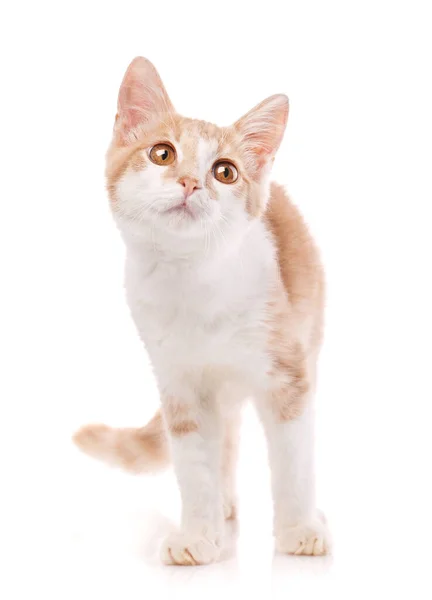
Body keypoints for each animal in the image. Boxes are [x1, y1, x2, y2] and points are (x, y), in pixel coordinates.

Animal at [74, 55, 330, 564]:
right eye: (162, 154)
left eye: (225, 172)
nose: (191, 182)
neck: (192, 279)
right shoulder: (179, 384)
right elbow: (194, 464)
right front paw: (197, 533)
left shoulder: (288, 373)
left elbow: (293, 458)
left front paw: (300, 528)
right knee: (225, 438)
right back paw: (223, 507)